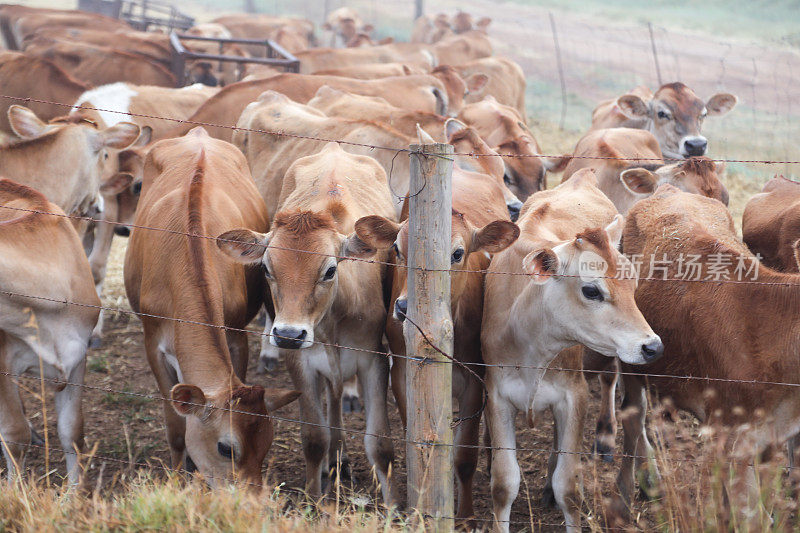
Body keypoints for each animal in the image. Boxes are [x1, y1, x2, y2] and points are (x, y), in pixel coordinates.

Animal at [123, 127, 298, 484]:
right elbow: (176, 427)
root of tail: (198, 134)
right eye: (226, 448)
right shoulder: (152, 343)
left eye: (267, 446)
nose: (250, 496)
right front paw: (179, 476)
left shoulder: (236, 334)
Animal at [219, 141, 396, 502]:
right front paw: (315, 500)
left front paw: (396, 507)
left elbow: (380, 445)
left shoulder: (373, 361)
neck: (330, 324)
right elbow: (314, 439)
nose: (289, 333)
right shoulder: (300, 362)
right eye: (266, 268)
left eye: (330, 269)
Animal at [482, 169, 664, 528]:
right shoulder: (497, 395)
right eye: (591, 290)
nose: (652, 346)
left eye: (633, 283)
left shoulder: (574, 395)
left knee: (635, 414)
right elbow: (504, 483)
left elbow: (568, 486)